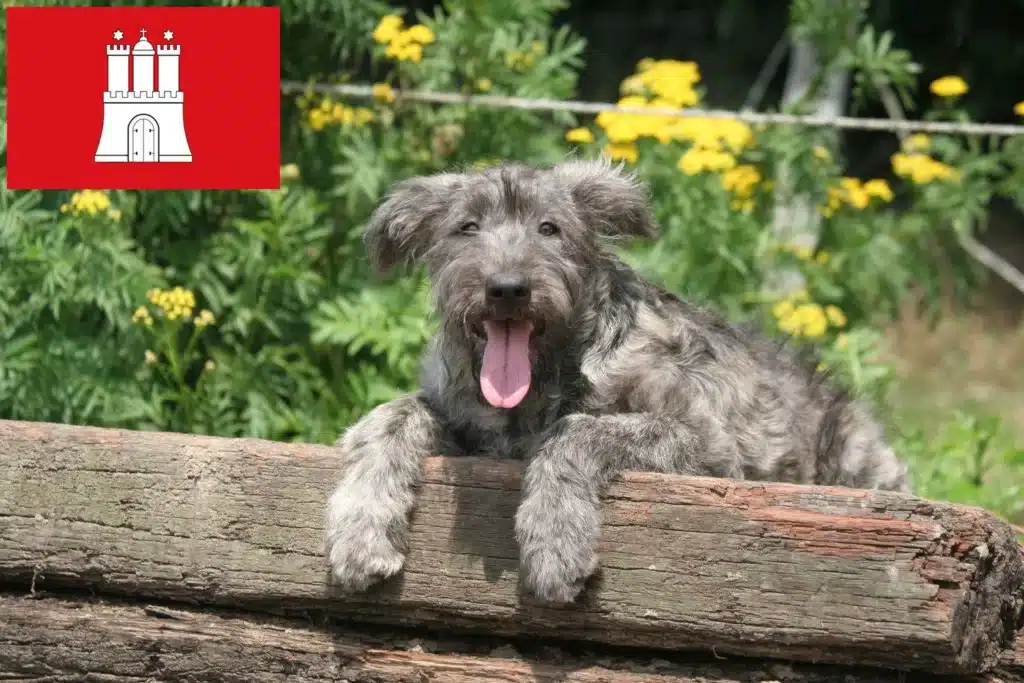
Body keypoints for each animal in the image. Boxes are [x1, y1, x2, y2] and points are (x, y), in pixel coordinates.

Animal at [323, 158, 909, 602]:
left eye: (550, 228)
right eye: (467, 227)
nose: (507, 289)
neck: (548, 378)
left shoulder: (707, 444)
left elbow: (578, 430)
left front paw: (555, 536)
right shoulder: (468, 425)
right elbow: (391, 415)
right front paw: (360, 526)